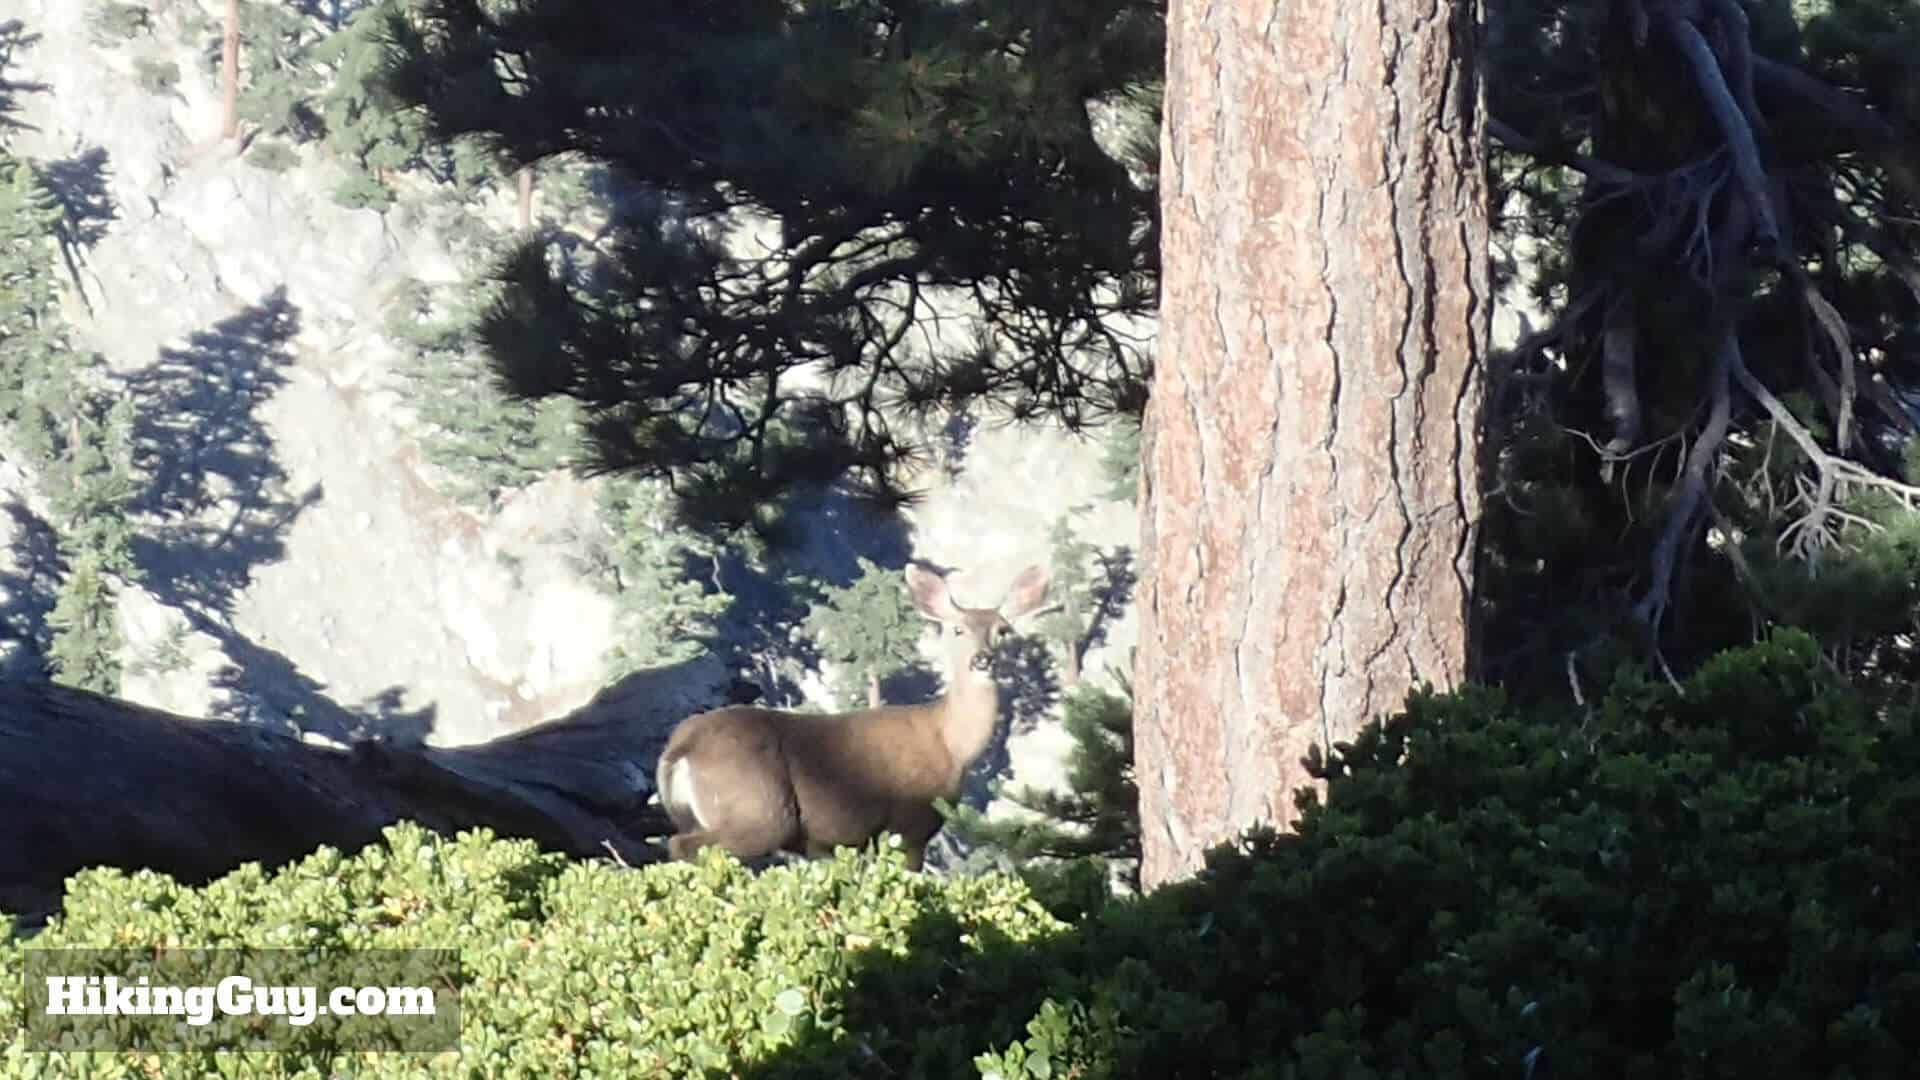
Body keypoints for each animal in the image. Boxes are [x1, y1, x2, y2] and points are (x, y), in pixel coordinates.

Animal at [654, 562, 1050, 870]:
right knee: (688, 847)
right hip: (758, 810)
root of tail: (682, 747)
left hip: (698, 814)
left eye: (1002, 630)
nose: (982, 659)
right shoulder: (911, 823)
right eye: (957, 628)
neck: (952, 745)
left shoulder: (835, 843)